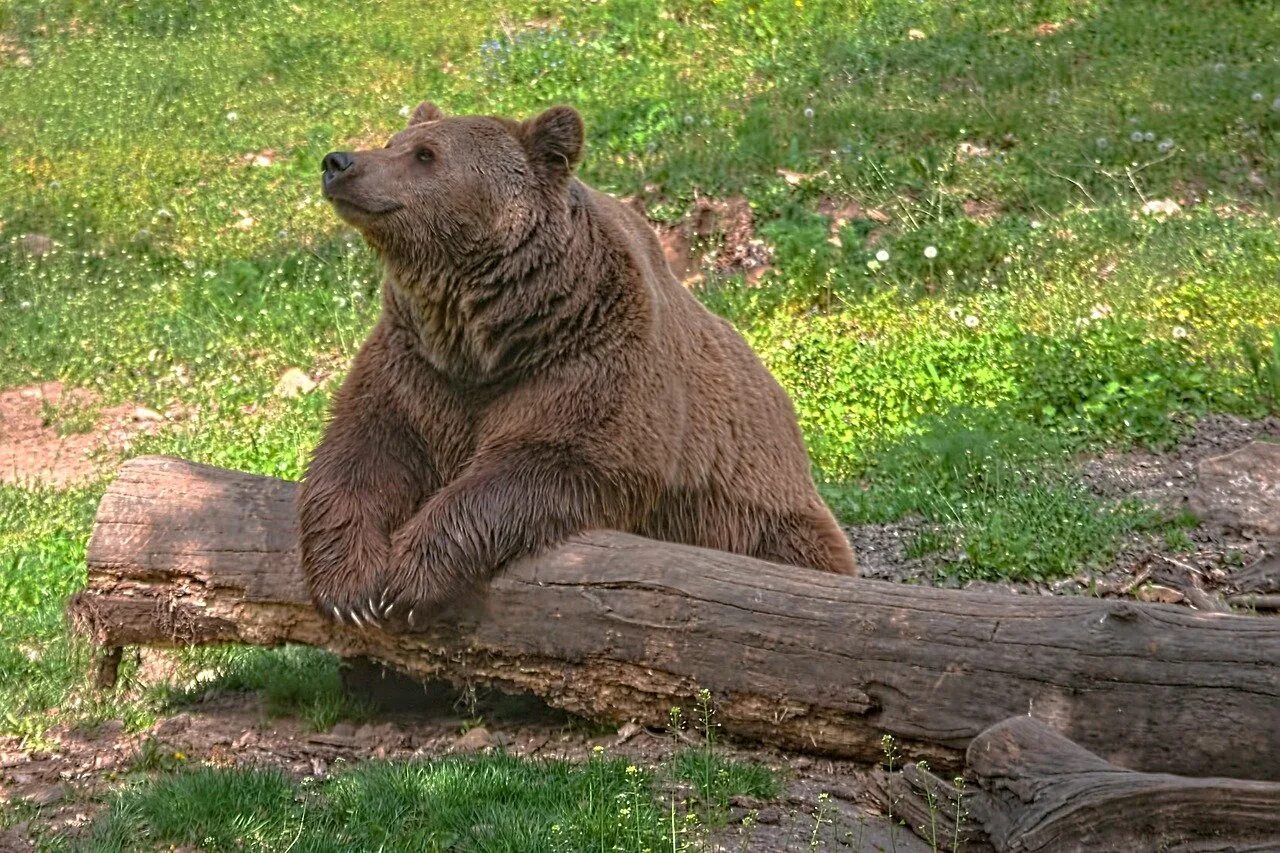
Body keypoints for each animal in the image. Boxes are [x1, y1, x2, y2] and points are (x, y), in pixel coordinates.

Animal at [300, 103, 860, 627]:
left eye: (425, 155)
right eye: (394, 142)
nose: (339, 162)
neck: (489, 331)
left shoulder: (588, 357)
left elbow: (550, 459)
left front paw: (410, 577)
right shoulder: (418, 365)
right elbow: (362, 450)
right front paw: (351, 587)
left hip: (763, 520)